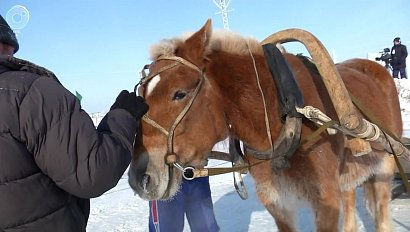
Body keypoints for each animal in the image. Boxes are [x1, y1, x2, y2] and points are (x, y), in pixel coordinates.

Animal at [130, 20, 402, 232]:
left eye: (179, 94)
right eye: (141, 95)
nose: (139, 178)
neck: (285, 117)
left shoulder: (326, 200)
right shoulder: (278, 203)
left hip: (386, 166)